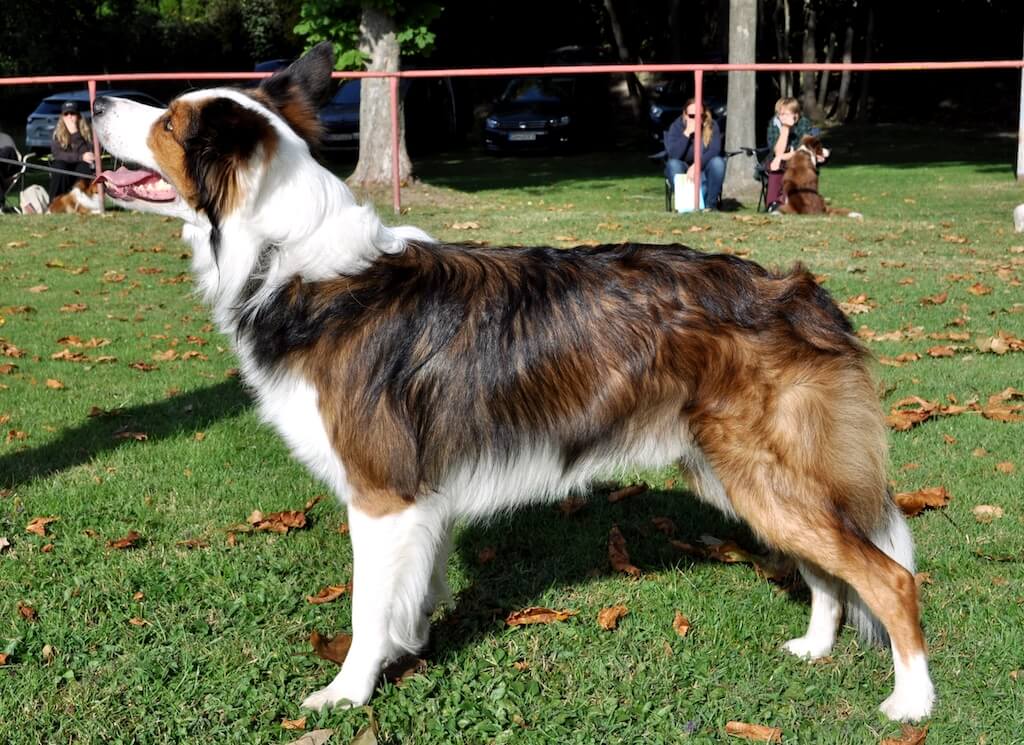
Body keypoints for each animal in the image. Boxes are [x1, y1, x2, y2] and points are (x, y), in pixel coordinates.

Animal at [96, 43, 937, 720]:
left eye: (169, 121)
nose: (98, 101)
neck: (290, 260)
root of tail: (800, 291)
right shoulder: (422, 497)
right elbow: (413, 592)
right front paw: (411, 648)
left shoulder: (380, 492)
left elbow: (368, 609)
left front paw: (348, 690)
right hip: (749, 476)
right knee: (830, 570)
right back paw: (816, 644)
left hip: (762, 474)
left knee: (890, 576)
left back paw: (912, 702)